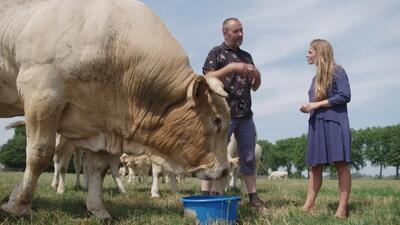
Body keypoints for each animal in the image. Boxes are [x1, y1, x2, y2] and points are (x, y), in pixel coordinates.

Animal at [0, 0, 230, 219]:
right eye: (216, 120)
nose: (225, 171)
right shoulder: (41, 92)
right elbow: (39, 154)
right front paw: (17, 205)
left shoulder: (101, 120)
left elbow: (98, 168)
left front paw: (98, 209)